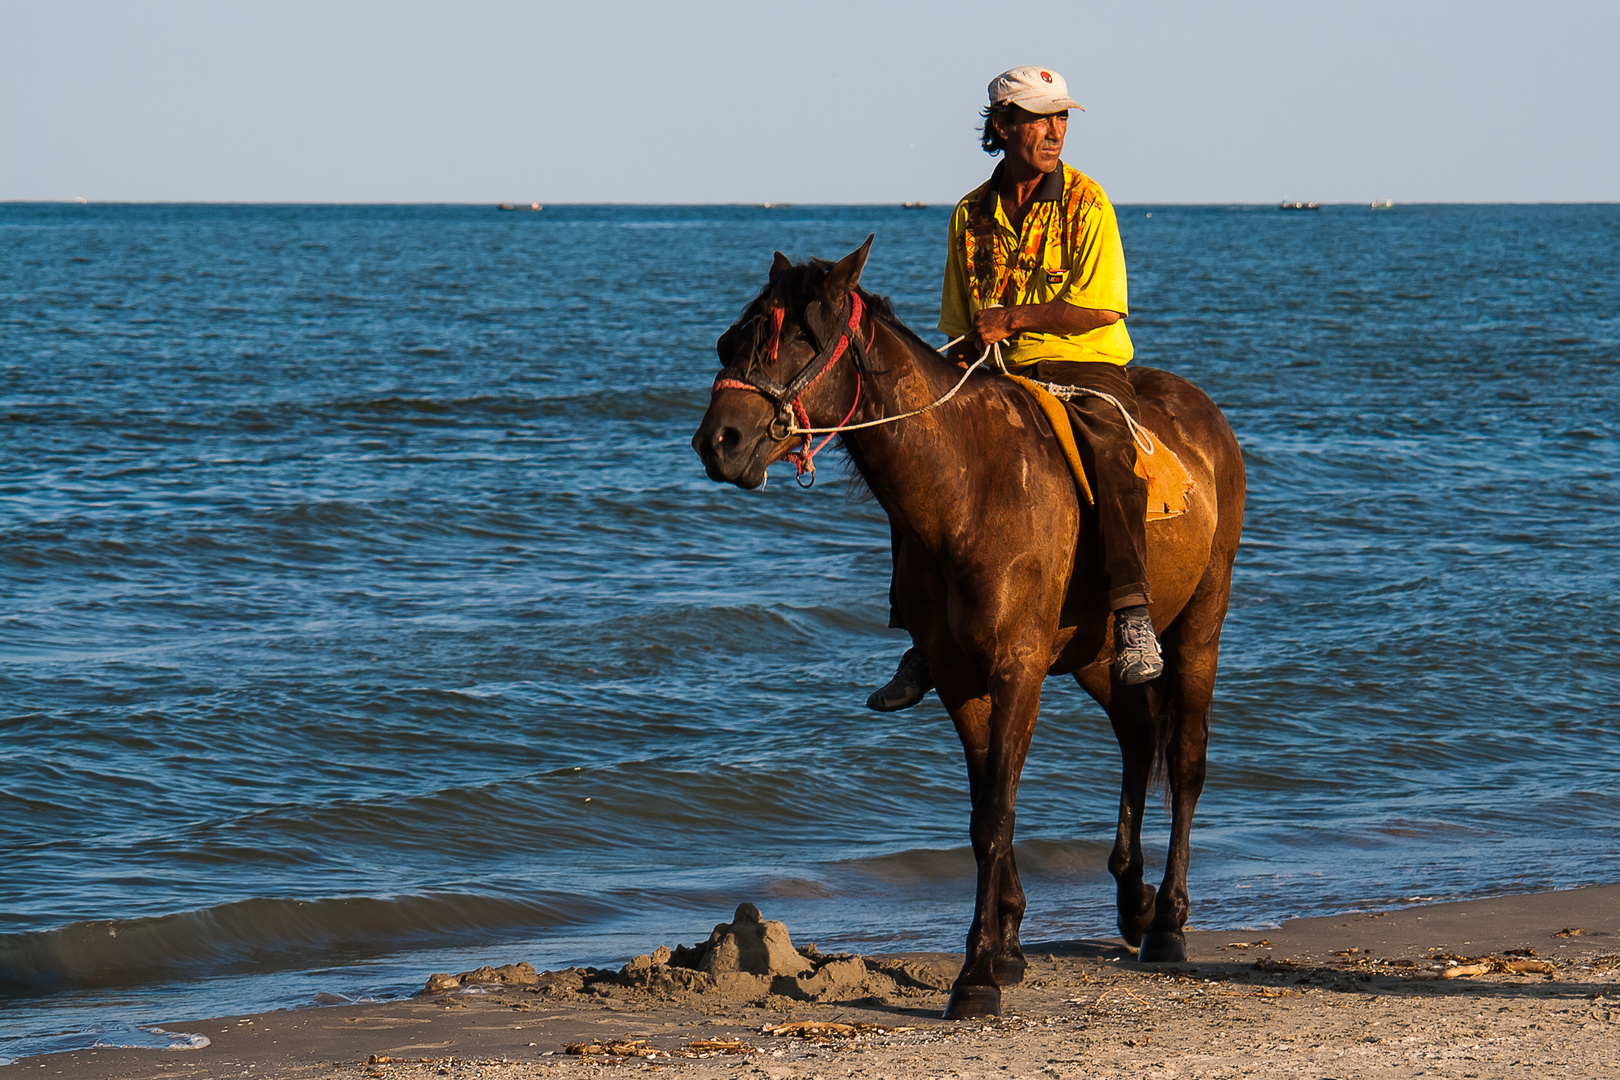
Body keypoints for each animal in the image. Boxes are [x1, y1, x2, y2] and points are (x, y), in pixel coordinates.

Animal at [690, 238, 1244, 1023]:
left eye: (800, 337)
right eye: (729, 342)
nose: (720, 442)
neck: (966, 488)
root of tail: (1206, 416)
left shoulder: (1016, 671)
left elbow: (995, 818)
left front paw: (978, 973)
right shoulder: (961, 680)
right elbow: (987, 810)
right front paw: (1005, 945)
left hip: (1201, 625)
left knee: (1186, 760)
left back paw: (1166, 920)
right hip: (1096, 654)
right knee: (1139, 737)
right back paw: (1132, 902)